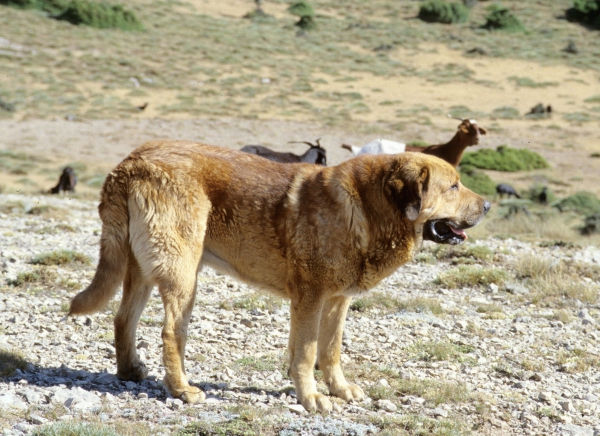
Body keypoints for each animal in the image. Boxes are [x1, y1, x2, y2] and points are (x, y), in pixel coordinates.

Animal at [70, 142, 490, 412]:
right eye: (453, 186)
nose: (487, 205)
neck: (368, 209)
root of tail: (129, 163)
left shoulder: (337, 301)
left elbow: (330, 351)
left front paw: (338, 389)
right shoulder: (310, 298)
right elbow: (306, 353)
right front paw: (312, 398)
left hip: (141, 268)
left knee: (123, 317)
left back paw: (129, 370)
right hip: (181, 274)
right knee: (171, 332)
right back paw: (182, 390)